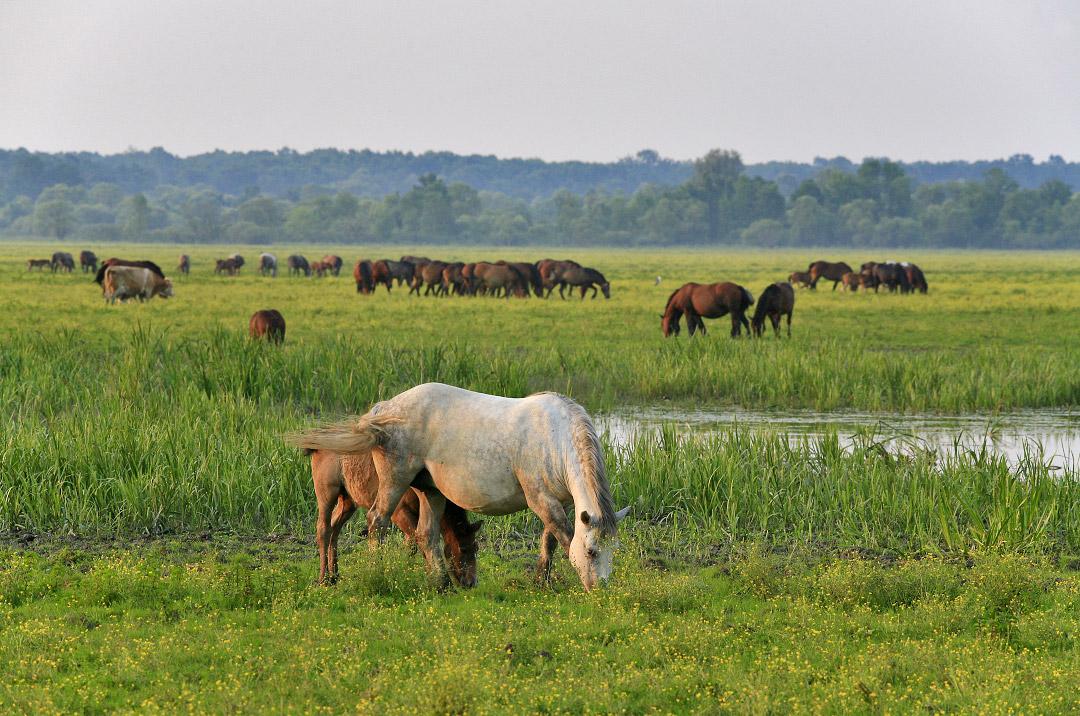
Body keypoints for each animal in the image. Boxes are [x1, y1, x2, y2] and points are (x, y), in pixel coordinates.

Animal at [306, 449, 479, 587]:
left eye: (476, 547)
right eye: (463, 548)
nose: (471, 582)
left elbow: (412, 543)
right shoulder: (399, 512)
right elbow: (416, 540)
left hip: (348, 500)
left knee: (334, 528)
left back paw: (334, 575)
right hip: (326, 493)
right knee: (323, 529)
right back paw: (323, 578)